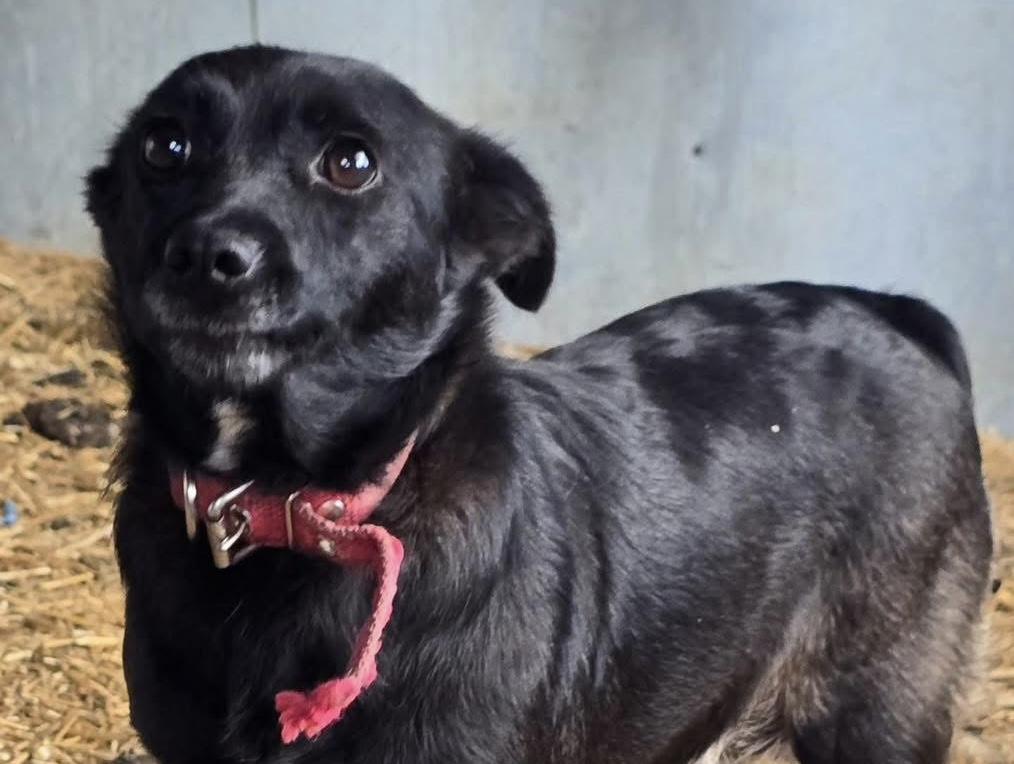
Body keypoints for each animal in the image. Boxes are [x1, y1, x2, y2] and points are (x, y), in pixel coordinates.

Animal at [86, 46, 993, 763]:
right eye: (164, 146)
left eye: (350, 163)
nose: (205, 254)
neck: (297, 509)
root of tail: (897, 312)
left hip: (874, 713)